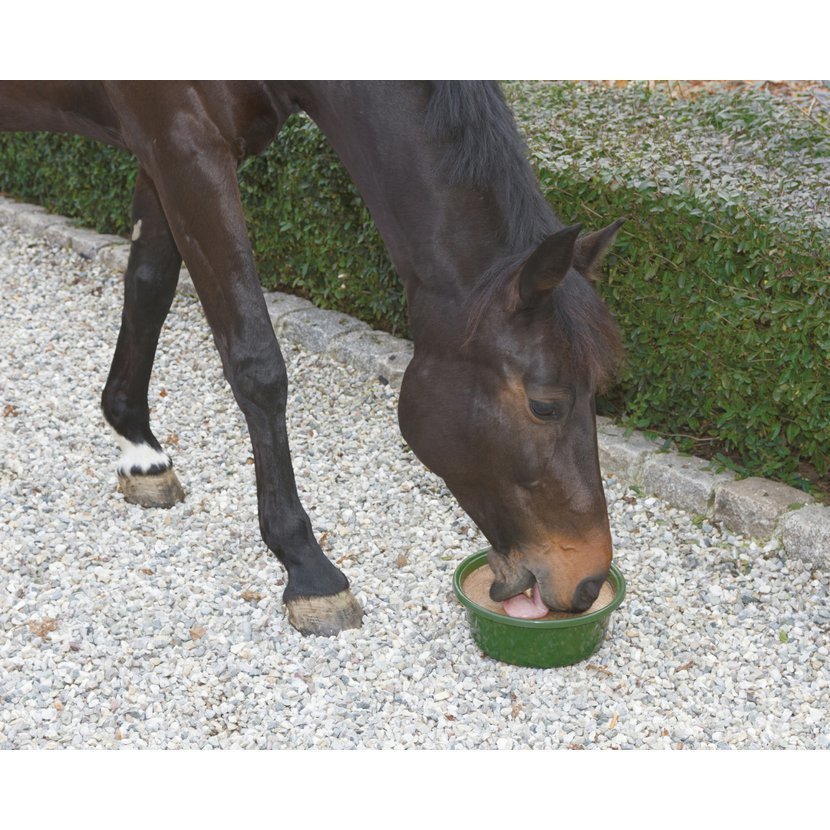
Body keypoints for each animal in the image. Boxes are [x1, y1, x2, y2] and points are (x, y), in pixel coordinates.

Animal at [0, 81, 624, 636]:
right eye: (545, 405)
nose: (588, 580)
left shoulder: (158, 154)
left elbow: (149, 285)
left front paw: (138, 447)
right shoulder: (185, 148)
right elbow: (256, 363)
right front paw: (308, 568)